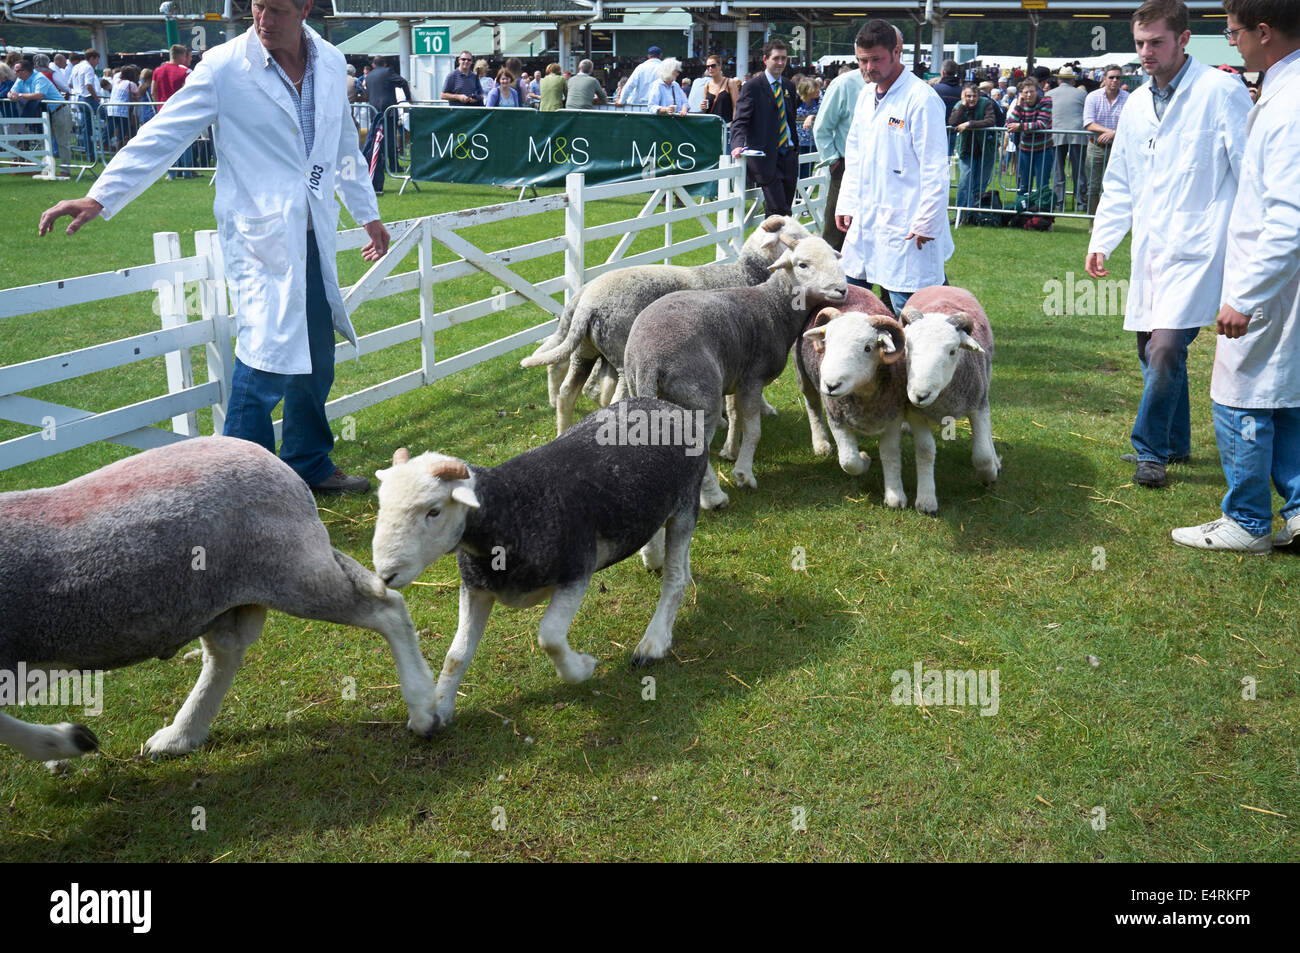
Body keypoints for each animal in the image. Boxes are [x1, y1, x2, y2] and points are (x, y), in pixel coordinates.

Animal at [0, 439, 441, 764]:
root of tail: (277, 466)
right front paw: (65, 741)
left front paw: (65, 741)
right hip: (226, 596)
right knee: (225, 655)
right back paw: (180, 735)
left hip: (295, 572)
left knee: (387, 607)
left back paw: (423, 710)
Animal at [371, 395, 707, 728]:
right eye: (382, 504)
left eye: (434, 511)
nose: (386, 576)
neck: (510, 507)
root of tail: (666, 405)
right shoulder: (476, 589)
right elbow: (457, 655)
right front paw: (439, 709)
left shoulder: (576, 571)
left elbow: (550, 637)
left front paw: (582, 668)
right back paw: (652, 557)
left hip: (685, 504)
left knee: (677, 577)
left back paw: (654, 642)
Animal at [520, 213, 806, 434]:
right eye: (794, 238)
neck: (747, 273)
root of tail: (586, 304)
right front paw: (763, 409)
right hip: (622, 354)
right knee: (612, 396)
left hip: (585, 351)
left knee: (567, 392)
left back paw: (563, 430)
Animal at [624, 232, 847, 509]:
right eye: (802, 264)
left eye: (834, 257)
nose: (842, 289)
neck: (774, 307)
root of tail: (649, 358)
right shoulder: (753, 377)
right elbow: (754, 429)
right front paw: (744, 474)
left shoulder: (736, 376)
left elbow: (735, 415)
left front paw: (731, 451)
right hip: (700, 395)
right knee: (696, 446)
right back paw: (714, 498)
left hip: (645, 390)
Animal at [899, 282, 998, 512]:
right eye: (907, 347)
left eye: (953, 351)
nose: (920, 395)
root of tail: (940, 285)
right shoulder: (915, 412)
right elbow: (925, 451)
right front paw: (926, 499)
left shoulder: (978, 405)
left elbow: (982, 455)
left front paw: (989, 475)